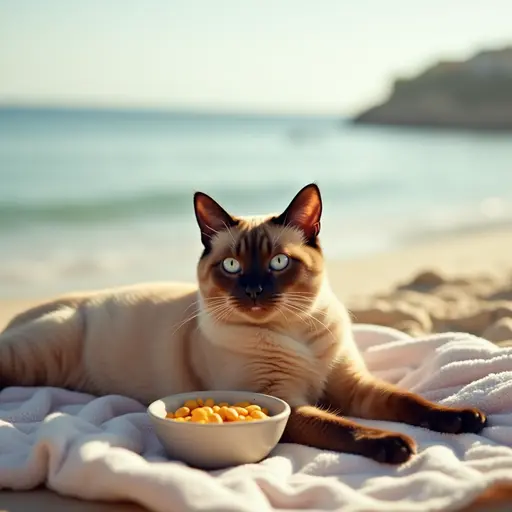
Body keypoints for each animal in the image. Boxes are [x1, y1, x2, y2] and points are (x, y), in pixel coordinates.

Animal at [0, 184, 488, 464]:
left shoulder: (353, 387)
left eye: (278, 263)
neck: (295, 331)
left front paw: (464, 417)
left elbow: (411, 402)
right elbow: (344, 427)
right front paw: (396, 446)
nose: (253, 291)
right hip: (33, 357)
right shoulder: (286, 404)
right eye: (232, 266)